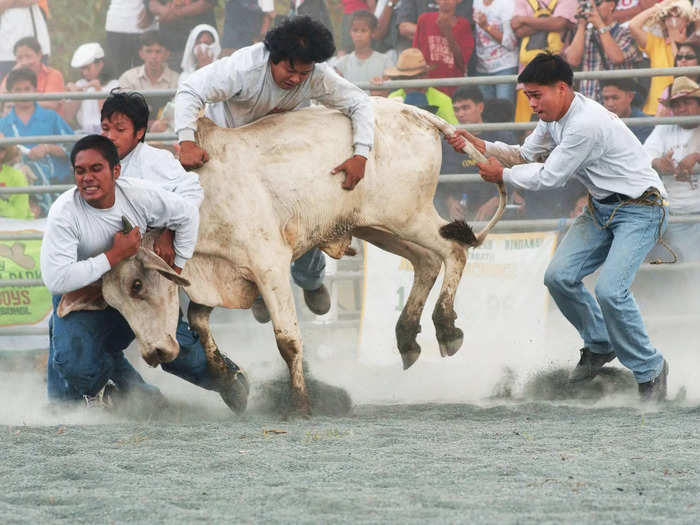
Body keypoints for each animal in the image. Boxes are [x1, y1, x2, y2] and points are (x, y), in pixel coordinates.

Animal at [93, 96, 506, 412]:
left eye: (136, 285)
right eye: (111, 301)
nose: (154, 353)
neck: (199, 201)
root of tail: (417, 114)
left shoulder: (269, 265)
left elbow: (287, 340)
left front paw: (299, 404)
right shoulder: (216, 274)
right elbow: (198, 321)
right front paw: (229, 383)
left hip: (409, 217)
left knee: (454, 250)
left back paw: (446, 327)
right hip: (377, 227)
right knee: (427, 261)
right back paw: (406, 337)